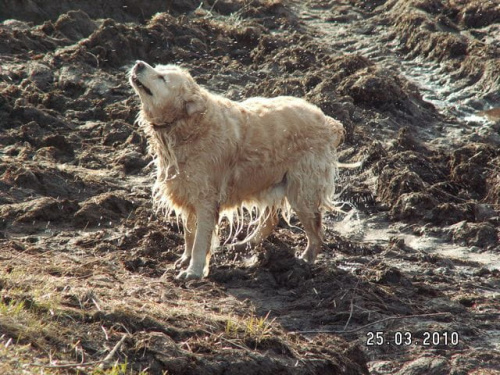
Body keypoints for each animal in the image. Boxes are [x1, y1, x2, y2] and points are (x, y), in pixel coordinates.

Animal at [130, 61, 348, 280]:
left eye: (162, 78)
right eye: (158, 68)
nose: (139, 64)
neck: (187, 126)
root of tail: (328, 122)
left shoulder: (206, 198)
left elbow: (200, 240)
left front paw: (193, 271)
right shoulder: (186, 188)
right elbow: (189, 233)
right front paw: (185, 259)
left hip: (303, 190)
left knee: (316, 232)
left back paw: (305, 261)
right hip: (269, 179)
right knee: (271, 219)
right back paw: (245, 244)